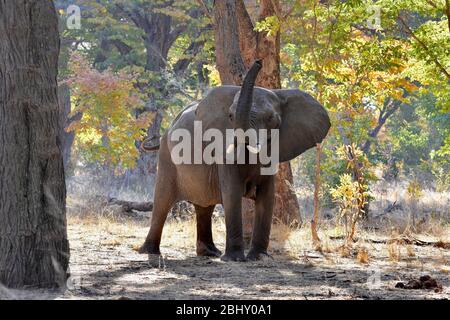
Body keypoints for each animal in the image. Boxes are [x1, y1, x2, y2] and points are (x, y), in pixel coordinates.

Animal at [139, 61, 332, 262]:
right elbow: (232, 193)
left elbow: (267, 196)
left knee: (204, 206)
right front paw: (235, 259)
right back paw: (150, 251)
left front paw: (259, 257)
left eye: (272, 119)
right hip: (167, 157)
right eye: (230, 117)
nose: (258, 62)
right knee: (163, 201)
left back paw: (209, 253)